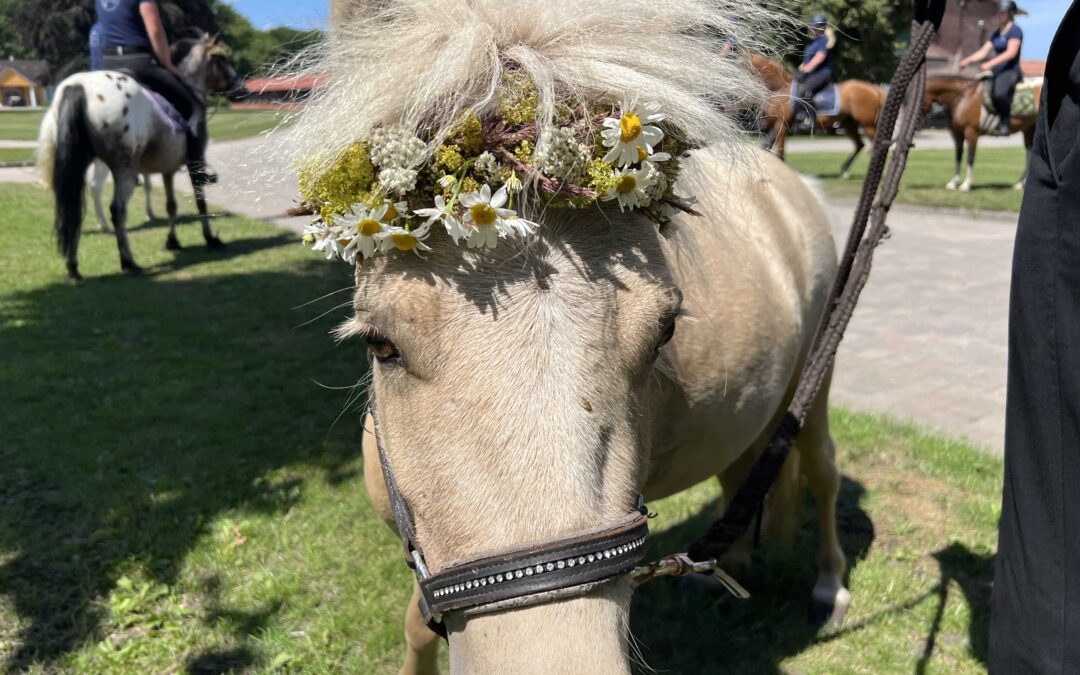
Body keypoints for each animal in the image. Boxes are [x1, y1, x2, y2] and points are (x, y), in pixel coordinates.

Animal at [89, 36, 247, 236]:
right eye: (220, 60)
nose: (243, 90)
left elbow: (149, 185)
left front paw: (151, 213)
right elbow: (197, 195)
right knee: (96, 187)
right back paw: (104, 225)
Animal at [309, 1, 847, 671]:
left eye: (665, 330)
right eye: (379, 344)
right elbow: (416, 624)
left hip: (816, 379)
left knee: (823, 469)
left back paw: (829, 585)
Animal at [750, 53, 886, 178]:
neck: (781, 88)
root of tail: (875, 89)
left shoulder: (782, 124)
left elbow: (778, 150)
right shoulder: (776, 125)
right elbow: (769, 147)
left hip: (867, 125)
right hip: (849, 124)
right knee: (859, 145)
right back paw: (844, 171)